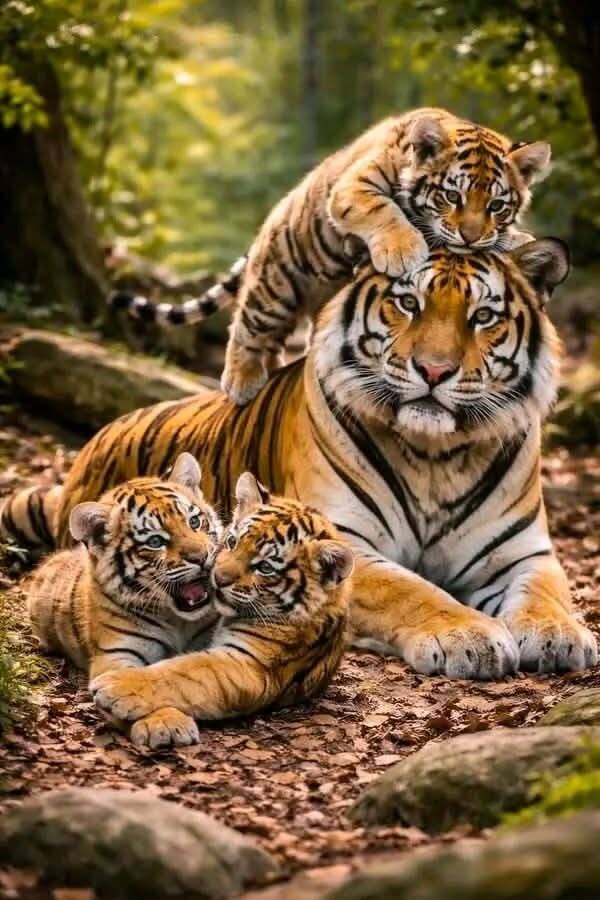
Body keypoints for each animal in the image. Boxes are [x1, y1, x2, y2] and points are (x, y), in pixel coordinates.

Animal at [7, 239, 597, 679]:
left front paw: (560, 636)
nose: (433, 370)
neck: (437, 455)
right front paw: (469, 635)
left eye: (484, 316)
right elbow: (411, 590)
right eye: (409, 303)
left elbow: (547, 592)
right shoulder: (343, 543)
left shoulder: (519, 550)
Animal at [26, 452, 222, 747]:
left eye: (195, 522)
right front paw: (165, 723)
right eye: (155, 541)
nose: (201, 557)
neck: (177, 618)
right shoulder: (117, 655)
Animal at [90, 471, 353, 748]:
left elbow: (182, 673)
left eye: (265, 568)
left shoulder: (250, 666)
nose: (218, 577)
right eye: (232, 541)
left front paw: (113, 686)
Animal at [109, 107, 550, 406]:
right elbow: (385, 212)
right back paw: (242, 381)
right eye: (452, 196)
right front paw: (404, 251)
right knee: (248, 326)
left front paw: (514, 238)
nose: (471, 237)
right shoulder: (353, 188)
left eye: (496, 205)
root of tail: (268, 222)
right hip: (275, 286)